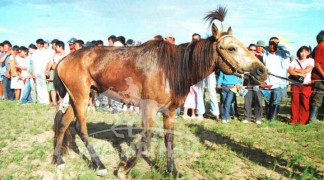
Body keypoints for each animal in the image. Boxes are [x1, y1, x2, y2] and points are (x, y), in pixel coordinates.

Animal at [52, 14, 266, 178]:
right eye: (231, 48)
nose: (261, 71)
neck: (170, 69)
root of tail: (64, 59)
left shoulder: (170, 112)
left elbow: (169, 139)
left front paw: (173, 170)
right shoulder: (149, 108)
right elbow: (146, 139)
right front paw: (124, 169)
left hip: (78, 97)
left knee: (63, 123)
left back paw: (58, 159)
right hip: (80, 98)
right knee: (80, 128)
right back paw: (99, 164)